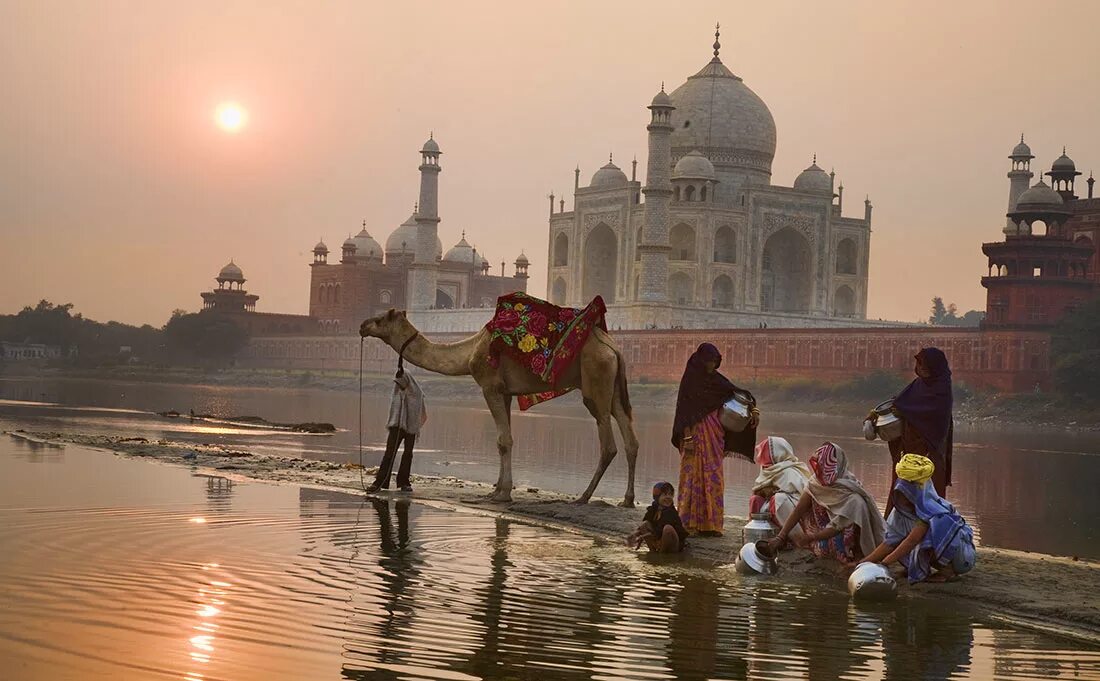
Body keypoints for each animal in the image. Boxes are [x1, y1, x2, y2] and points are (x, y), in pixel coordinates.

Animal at [360, 308, 642, 506]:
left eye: (380, 319)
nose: (362, 325)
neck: (469, 351)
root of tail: (614, 348)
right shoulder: (505, 393)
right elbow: (503, 441)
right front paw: (496, 488)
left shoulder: (490, 386)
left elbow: (504, 440)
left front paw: (503, 494)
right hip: (614, 387)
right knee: (630, 437)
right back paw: (627, 500)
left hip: (596, 379)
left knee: (608, 442)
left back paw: (583, 496)